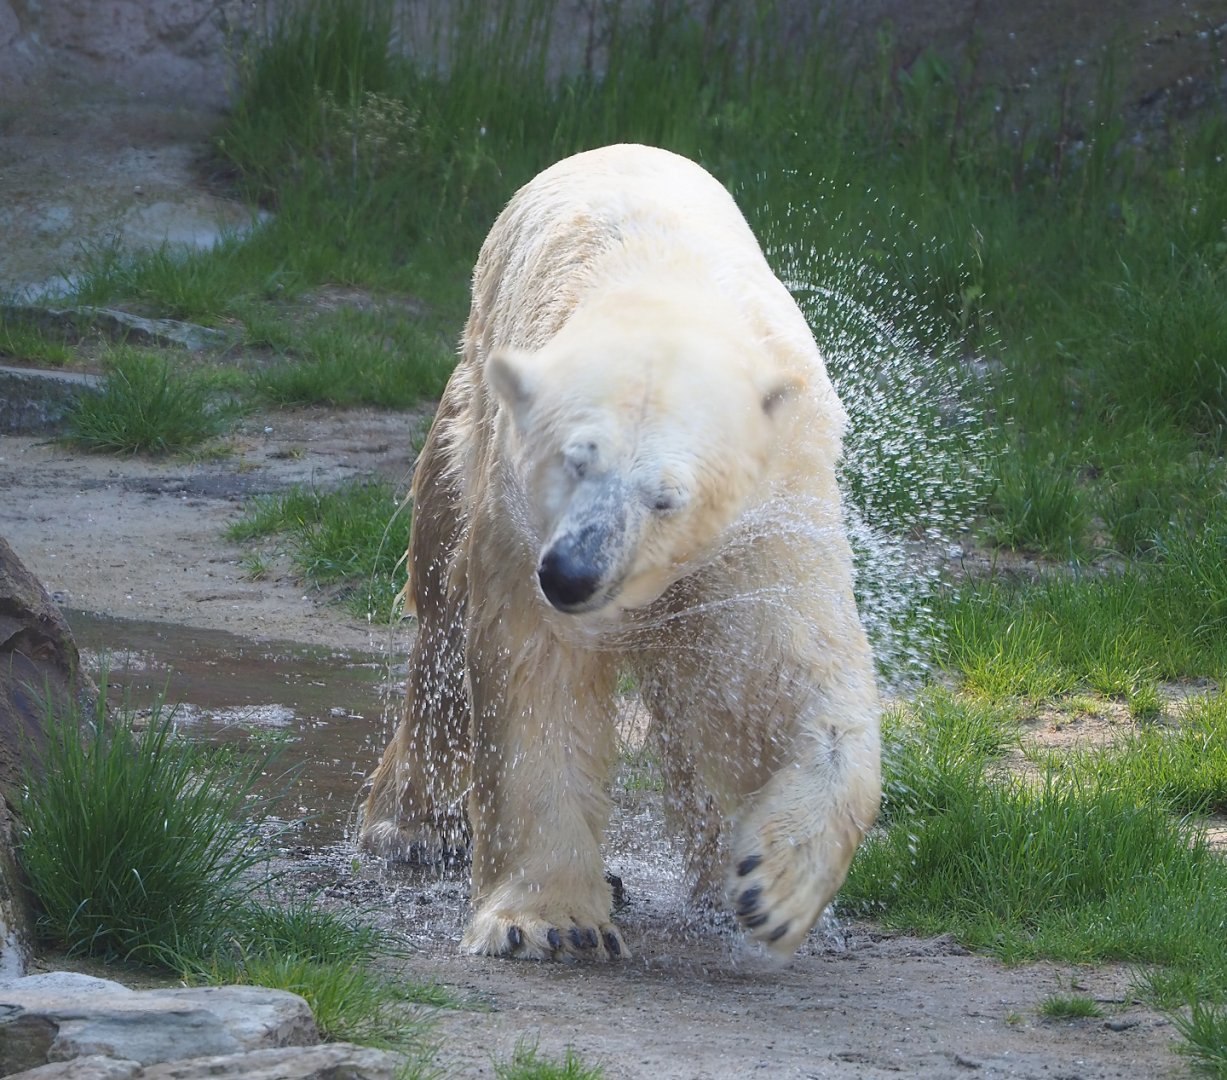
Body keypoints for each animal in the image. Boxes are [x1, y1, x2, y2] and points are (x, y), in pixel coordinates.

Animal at [360, 143, 881, 961]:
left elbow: (781, 675)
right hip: (469, 404)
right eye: (574, 462)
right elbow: (534, 674)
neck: (662, 303)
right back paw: (412, 825)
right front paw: (549, 921)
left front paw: (772, 887)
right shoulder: (520, 516)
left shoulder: (766, 516)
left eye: (665, 496)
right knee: (441, 607)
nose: (572, 575)